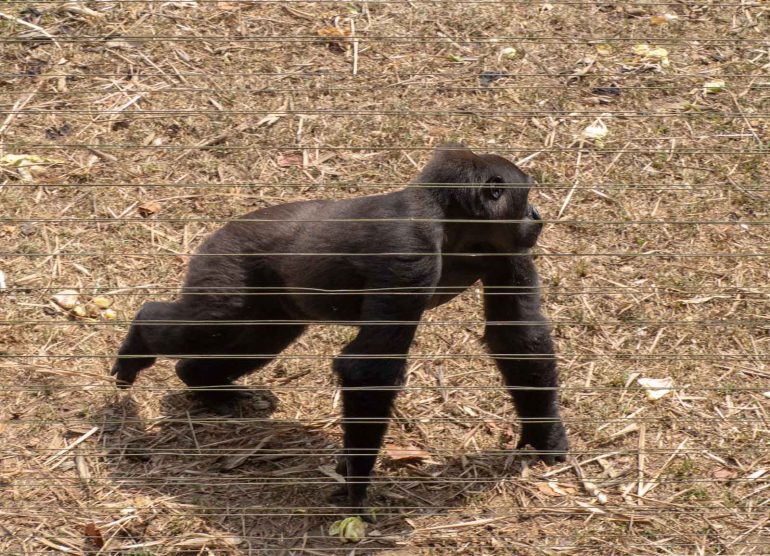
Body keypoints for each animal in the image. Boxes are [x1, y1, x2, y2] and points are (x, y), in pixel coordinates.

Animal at [111, 144, 568, 520]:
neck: (449, 217)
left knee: (255, 338)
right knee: (208, 322)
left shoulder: (507, 248)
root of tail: (221, 228)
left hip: (272, 307)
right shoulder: (409, 254)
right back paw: (140, 341)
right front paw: (357, 485)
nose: (536, 216)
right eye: (526, 196)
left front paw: (544, 432)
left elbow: (518, 336)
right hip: (226, 259)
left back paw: (204, 384)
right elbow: (370, 369)